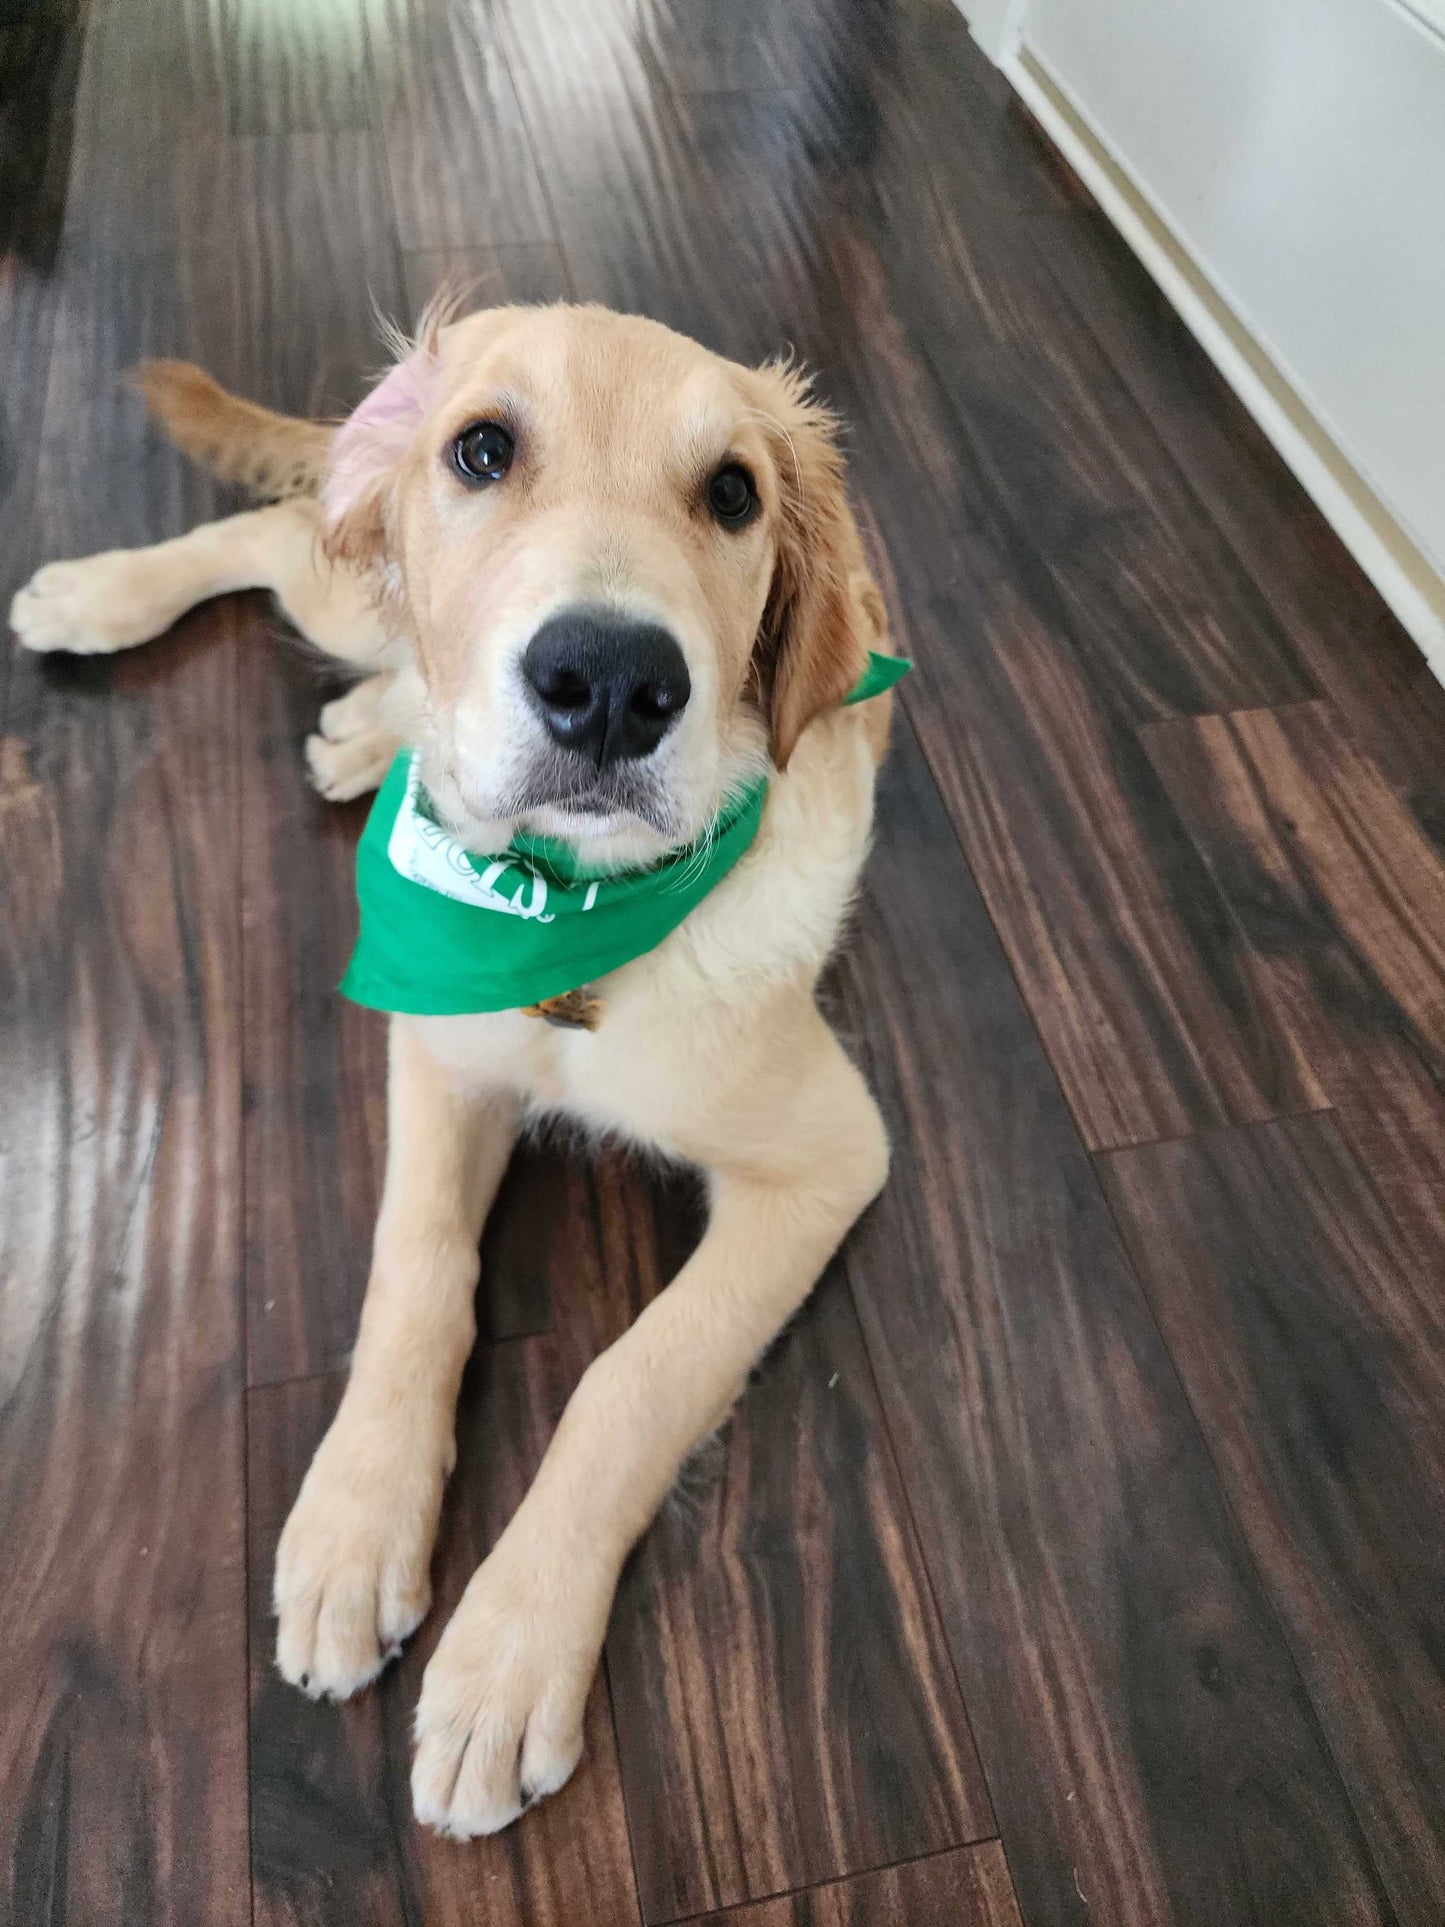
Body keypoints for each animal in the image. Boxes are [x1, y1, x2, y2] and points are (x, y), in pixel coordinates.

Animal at [8, 304, 893, 1834]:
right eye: (483, 450)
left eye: (734, 493)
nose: (611, 685)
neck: (563, 917)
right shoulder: (436, 1038)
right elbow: (416, 1265)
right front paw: (357, 1524)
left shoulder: (826, 1161)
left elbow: (629, 1382)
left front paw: (506, 1655)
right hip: (355, 586)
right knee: (276, 537)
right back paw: (97, 596)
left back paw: (362, 735)